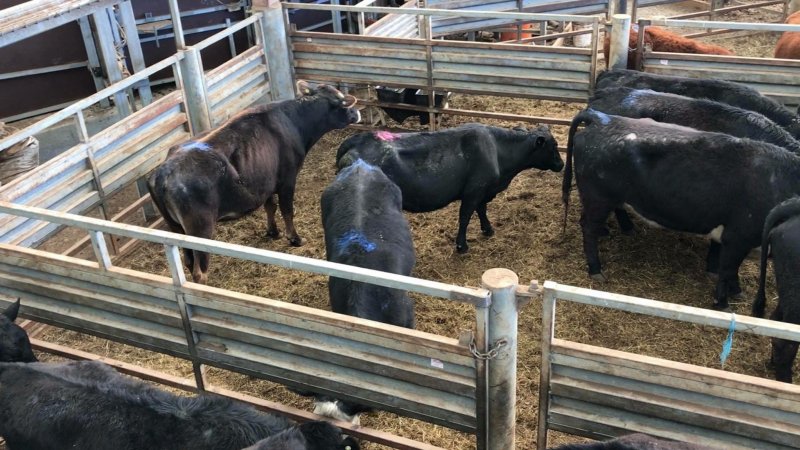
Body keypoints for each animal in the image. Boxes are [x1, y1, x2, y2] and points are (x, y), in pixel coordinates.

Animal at [148, 81, 360, 284]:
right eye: (343, 102)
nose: (356, 113)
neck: (294, 122)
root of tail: (163, 173)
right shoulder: (288, 179)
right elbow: (287, 210)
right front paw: (294, 238)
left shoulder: (266, 182)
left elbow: (270, 206)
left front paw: (273, 231)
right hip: (200, 227)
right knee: (200, 271)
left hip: (176, 228)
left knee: (188, 261)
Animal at [332, 124, 564, 253]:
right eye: (553, 146)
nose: (562, 164)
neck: (498, 150)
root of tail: (355, 140)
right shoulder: (473, 191)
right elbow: (465, 217)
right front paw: (462, 246)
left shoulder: (483, 192)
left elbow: (482, 210)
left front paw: (487, 229)